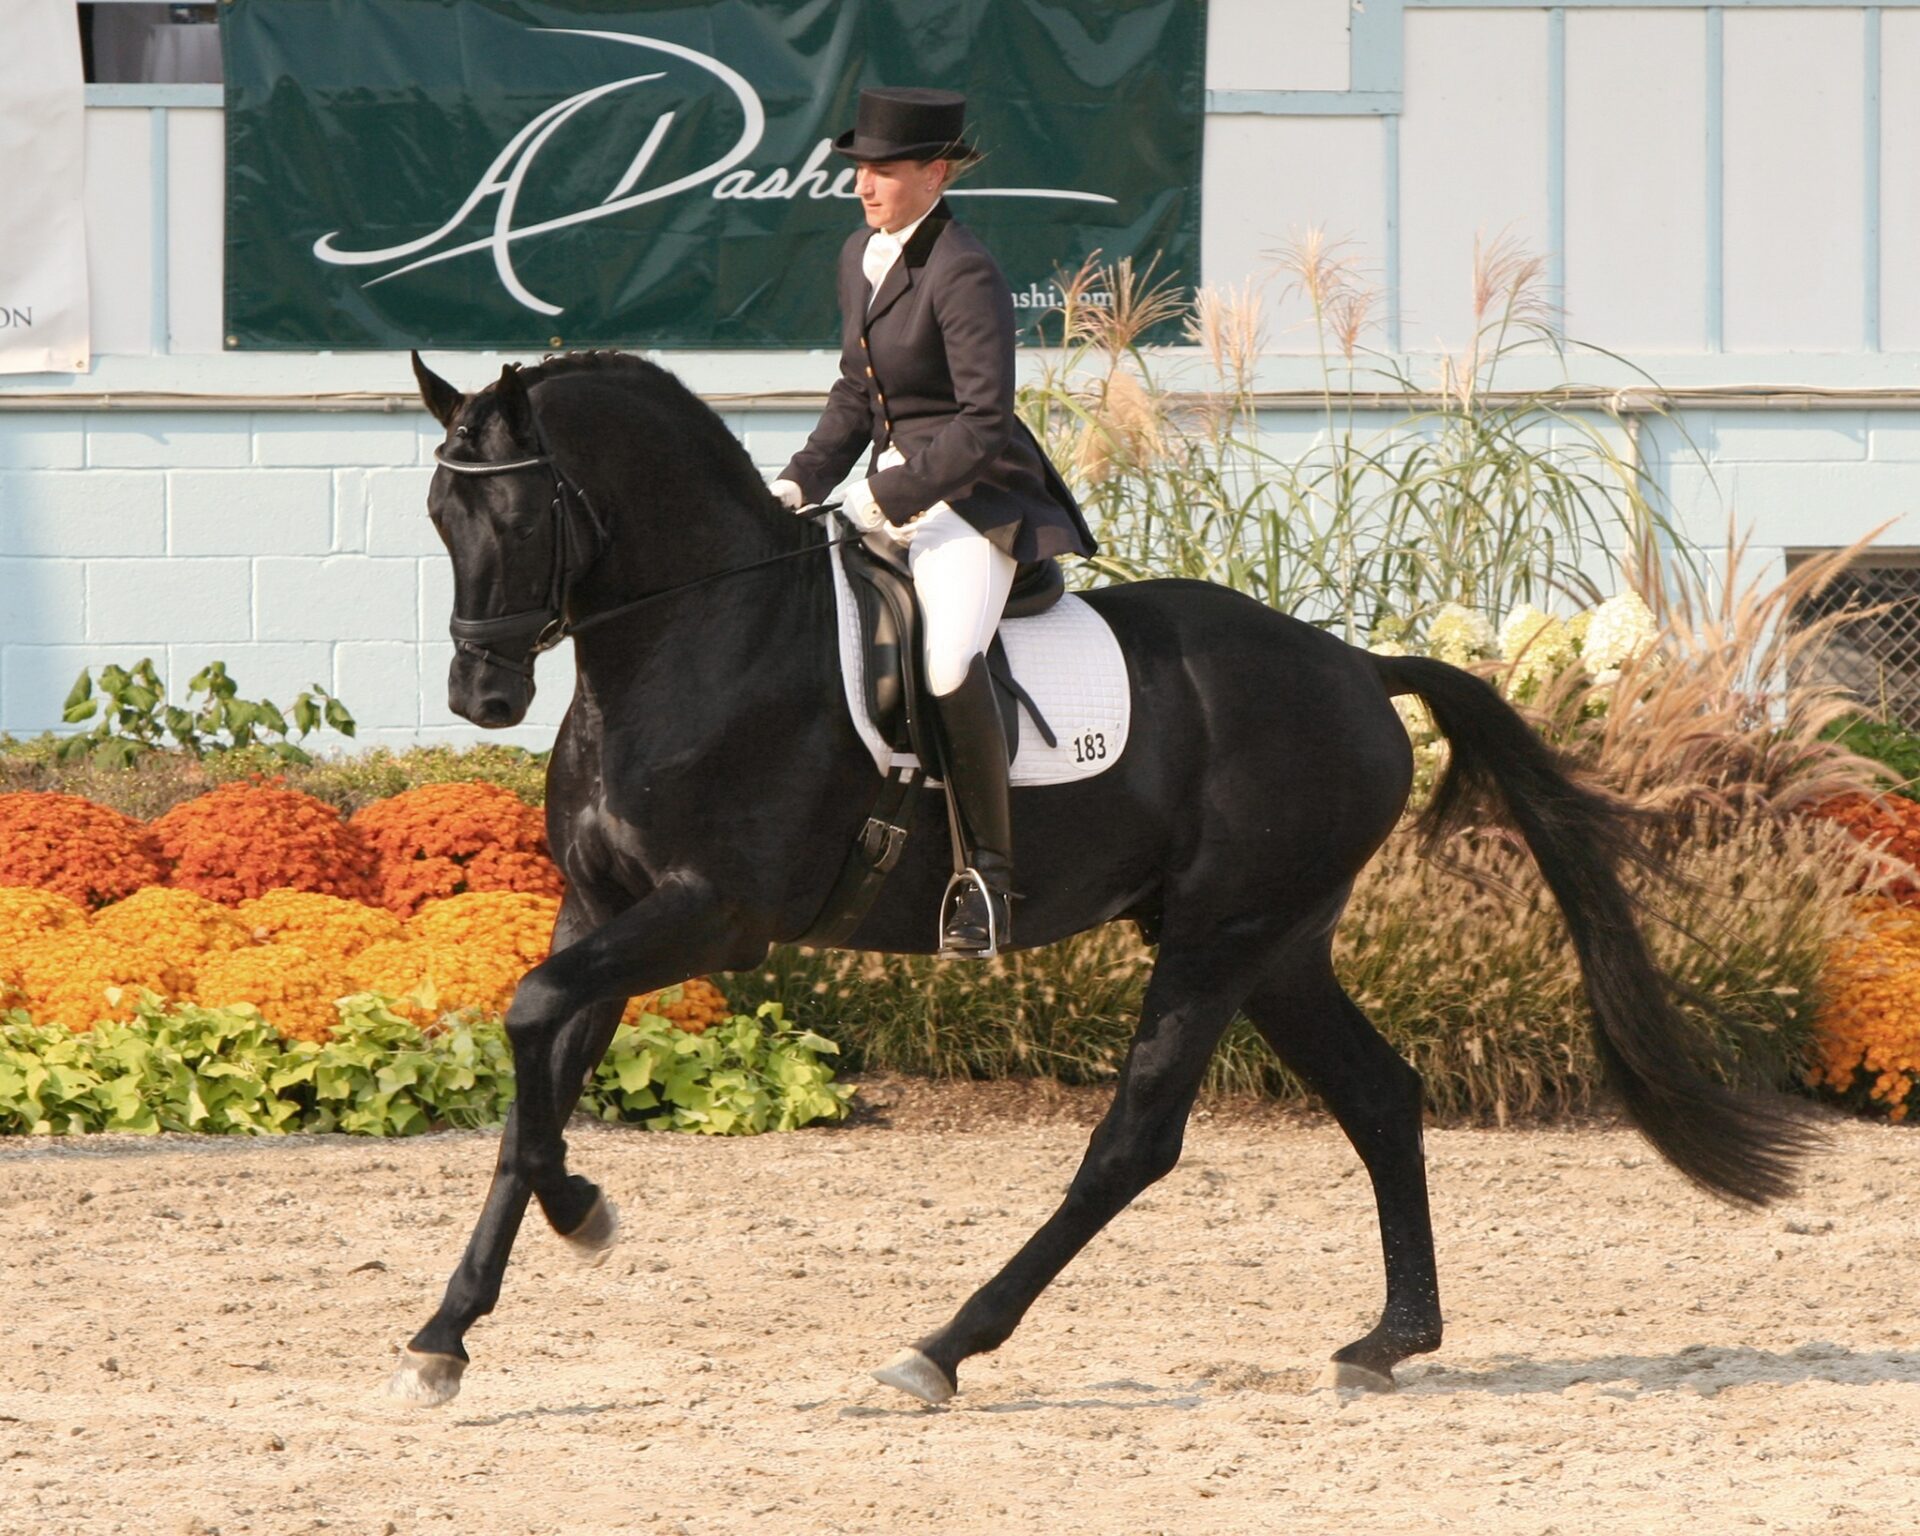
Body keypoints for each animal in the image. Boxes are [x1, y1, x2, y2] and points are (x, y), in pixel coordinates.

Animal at [390, 348, 1818, 1408]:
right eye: (438, 516)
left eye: (515, 512)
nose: (482, 696)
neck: (699, 640)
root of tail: (1357, 666)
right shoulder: (606, 910)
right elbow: (532, 1081)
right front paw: (447, 1332)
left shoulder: (714, 918)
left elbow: (527, 1018)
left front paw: (585, 1214)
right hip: (1273, 945)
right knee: (1381, 1097)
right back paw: (1388, 1341)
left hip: (1220, 940)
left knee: (1136, 1139)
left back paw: (943, 1347)